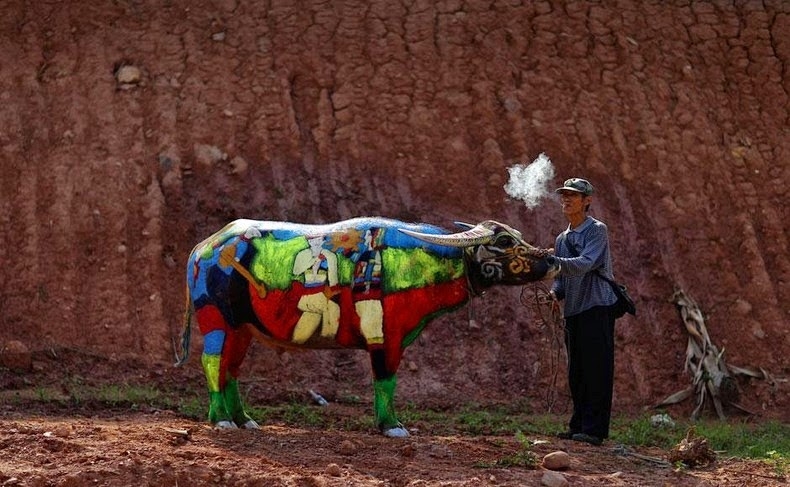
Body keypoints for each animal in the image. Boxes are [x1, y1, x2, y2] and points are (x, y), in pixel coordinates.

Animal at [178, 217, 564, 438]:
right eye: (503, 242)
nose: (552, 259)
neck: (412, 262)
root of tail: (202, 248)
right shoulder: (386, 339)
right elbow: (386, 381)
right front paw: (391, 426)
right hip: (217, 321)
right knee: (212, 363)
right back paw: (220, 420)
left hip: (242, 329)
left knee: (231, 368)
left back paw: (243, 419)